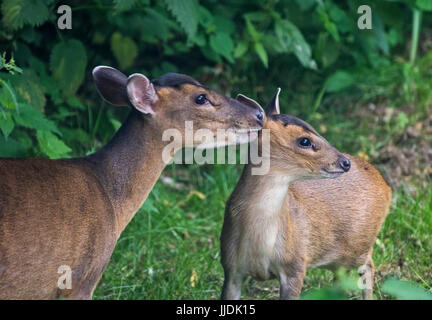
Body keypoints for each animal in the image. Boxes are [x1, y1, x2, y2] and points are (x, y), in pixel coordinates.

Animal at [221, 89, 394, 298]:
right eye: (305, 140)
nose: (345, 162)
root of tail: (385, 185)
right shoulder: (230, 267)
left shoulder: (295, 264)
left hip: (358, 243)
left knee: (368, 265)